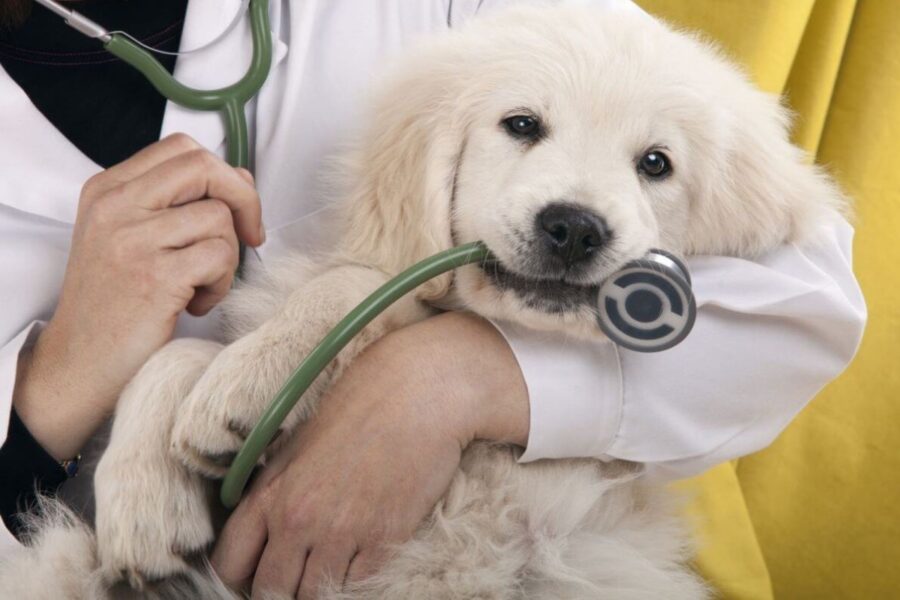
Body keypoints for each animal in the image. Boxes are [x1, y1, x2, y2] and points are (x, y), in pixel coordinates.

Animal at [0, 5, 844, 600]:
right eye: (521, 124)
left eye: (657, 164)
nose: (574, 228)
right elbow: (176, 348)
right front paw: (146, 498)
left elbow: (354, 287)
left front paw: (244, 384)